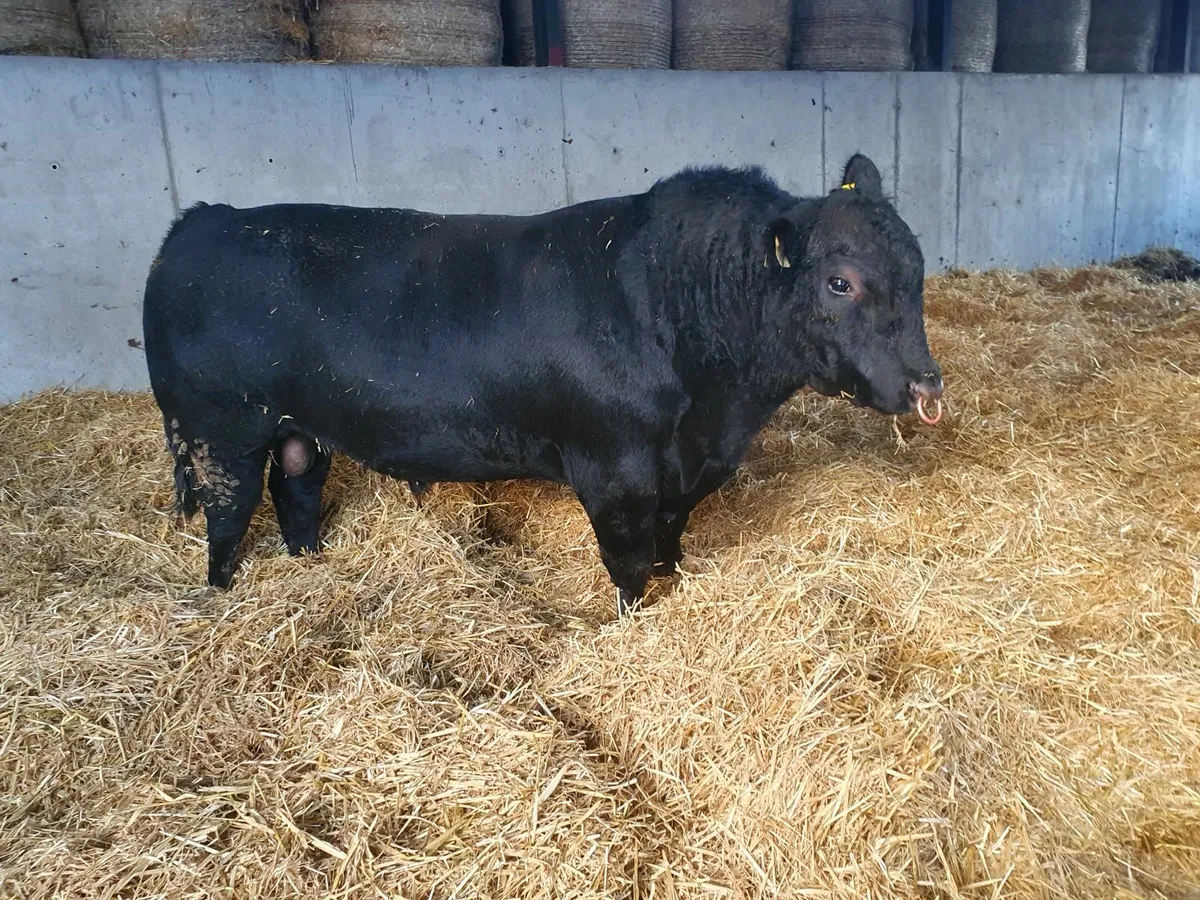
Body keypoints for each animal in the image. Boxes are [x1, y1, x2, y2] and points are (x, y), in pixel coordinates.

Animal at [143, 153, 943, 616]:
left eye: (917, 266)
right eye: (841, 281)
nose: (926, 387)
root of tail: (203, 220)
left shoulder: (683, 472)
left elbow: (670, 543)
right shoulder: (616, 471)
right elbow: (629, 565)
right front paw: (636, 625)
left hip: (297, 428)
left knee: (298, 493)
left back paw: (310, 565)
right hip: (219, 432)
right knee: (229, 518)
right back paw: (220, 595)